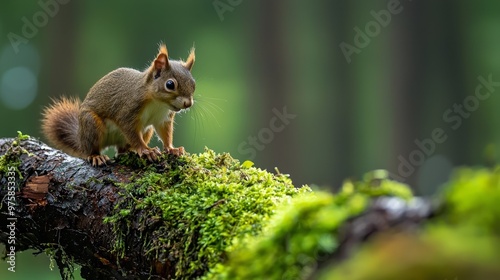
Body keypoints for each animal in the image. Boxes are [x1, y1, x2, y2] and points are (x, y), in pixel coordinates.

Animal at [41, 44, 195, 166]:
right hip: (91, 124)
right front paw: (146, 150)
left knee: (121, 150)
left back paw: (129, 151)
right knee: (89, 149)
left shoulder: (163, 118)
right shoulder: (128, 110)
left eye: (193, 84)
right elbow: (131, 132)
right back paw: (96, 156)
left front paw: (172, 149)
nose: (188, 103)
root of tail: (80, 138)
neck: (157, 103)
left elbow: (165, 133)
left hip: (146, 130)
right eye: (170, 84)